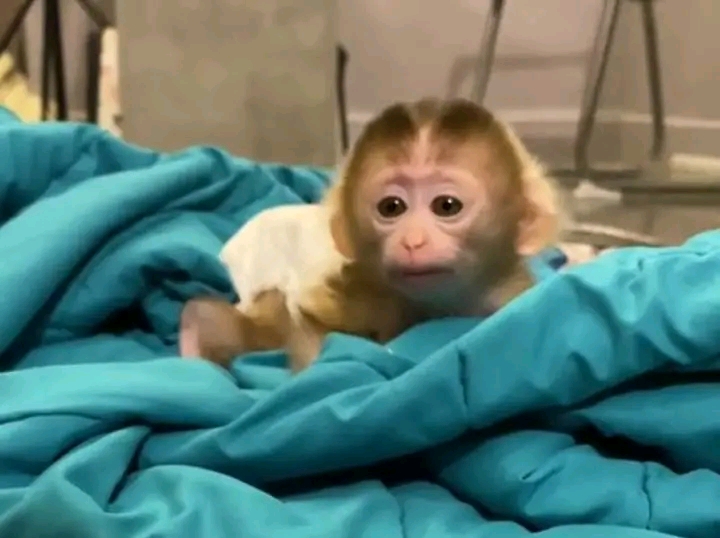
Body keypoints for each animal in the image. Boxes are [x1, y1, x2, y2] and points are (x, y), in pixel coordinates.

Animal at [179, 97, 562, 372]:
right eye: (391, 207)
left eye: (447, 206)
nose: (413, 241)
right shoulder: (362, 291)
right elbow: (309, 324)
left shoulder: (509, 298)